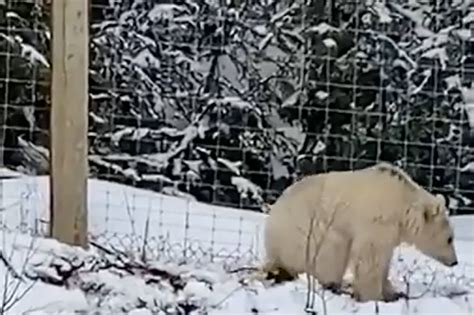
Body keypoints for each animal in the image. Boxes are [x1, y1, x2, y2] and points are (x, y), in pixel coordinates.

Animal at [262, 163, 460, 304]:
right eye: (450, 239)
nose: (454, 262)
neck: (402, 204)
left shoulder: (390, 229)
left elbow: (384, 258)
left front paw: (393, 292)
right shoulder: (376, 221)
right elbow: (370, 257)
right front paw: (375, 296)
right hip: (308, 232)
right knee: (330, 252)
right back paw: (334, 285)